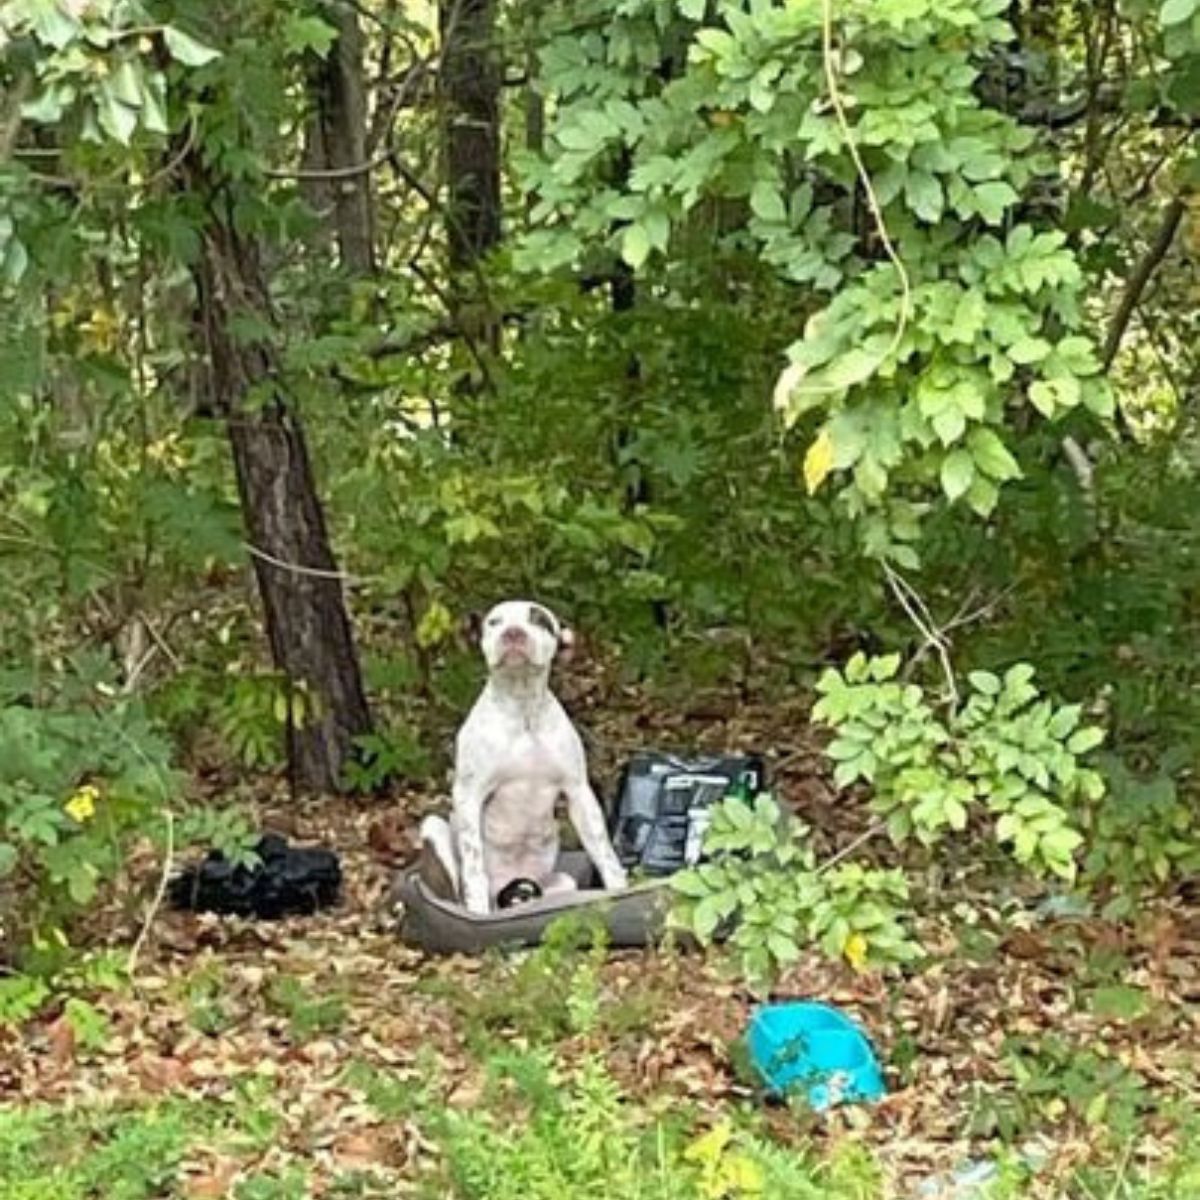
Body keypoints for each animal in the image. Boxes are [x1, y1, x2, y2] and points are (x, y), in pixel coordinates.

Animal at [420, 595, 628, 912]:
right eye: (494, 622)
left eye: (539, 620)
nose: (513, 633)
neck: (522, 709)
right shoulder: (469, 794)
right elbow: (473, 866)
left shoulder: (579, 791)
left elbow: (605, 853)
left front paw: (619, 890)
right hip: (434, 828)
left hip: (558, 882)